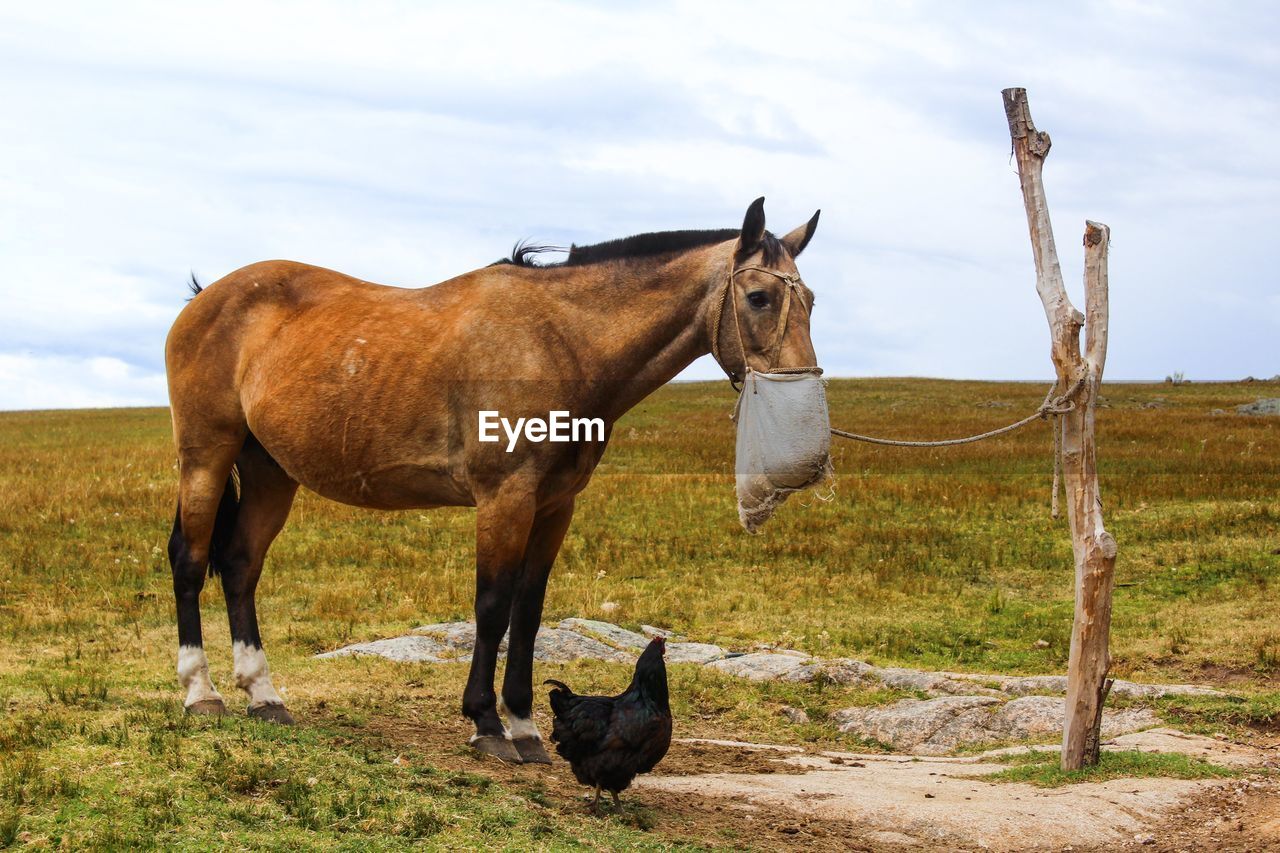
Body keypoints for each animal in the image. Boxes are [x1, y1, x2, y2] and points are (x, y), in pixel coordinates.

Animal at [162, 195, 819, 758]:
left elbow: (528, 612)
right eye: (759, 297)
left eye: (810, 298)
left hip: (270, 471)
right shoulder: (506, 498)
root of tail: (205, 298)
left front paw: (524, 724)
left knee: (241, 565)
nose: (800, 386)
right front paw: (485, 722)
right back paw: (201, 693)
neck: (560, 343)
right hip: (207, 454)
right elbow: (493, 605)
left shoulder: (554, 506)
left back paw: (263, 695)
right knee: (191, 561)